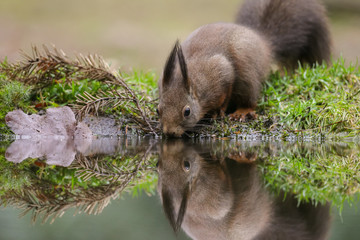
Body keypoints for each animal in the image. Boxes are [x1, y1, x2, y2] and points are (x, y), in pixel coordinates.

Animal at [158, 0, 332, 137]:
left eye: (187, 112)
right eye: (158, 110)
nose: (170, 132)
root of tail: (263, 45)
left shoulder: (222, 73)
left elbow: (226, 94)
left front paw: (218, 111)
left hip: (246, 72)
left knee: (250, 98)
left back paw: (242, 111)